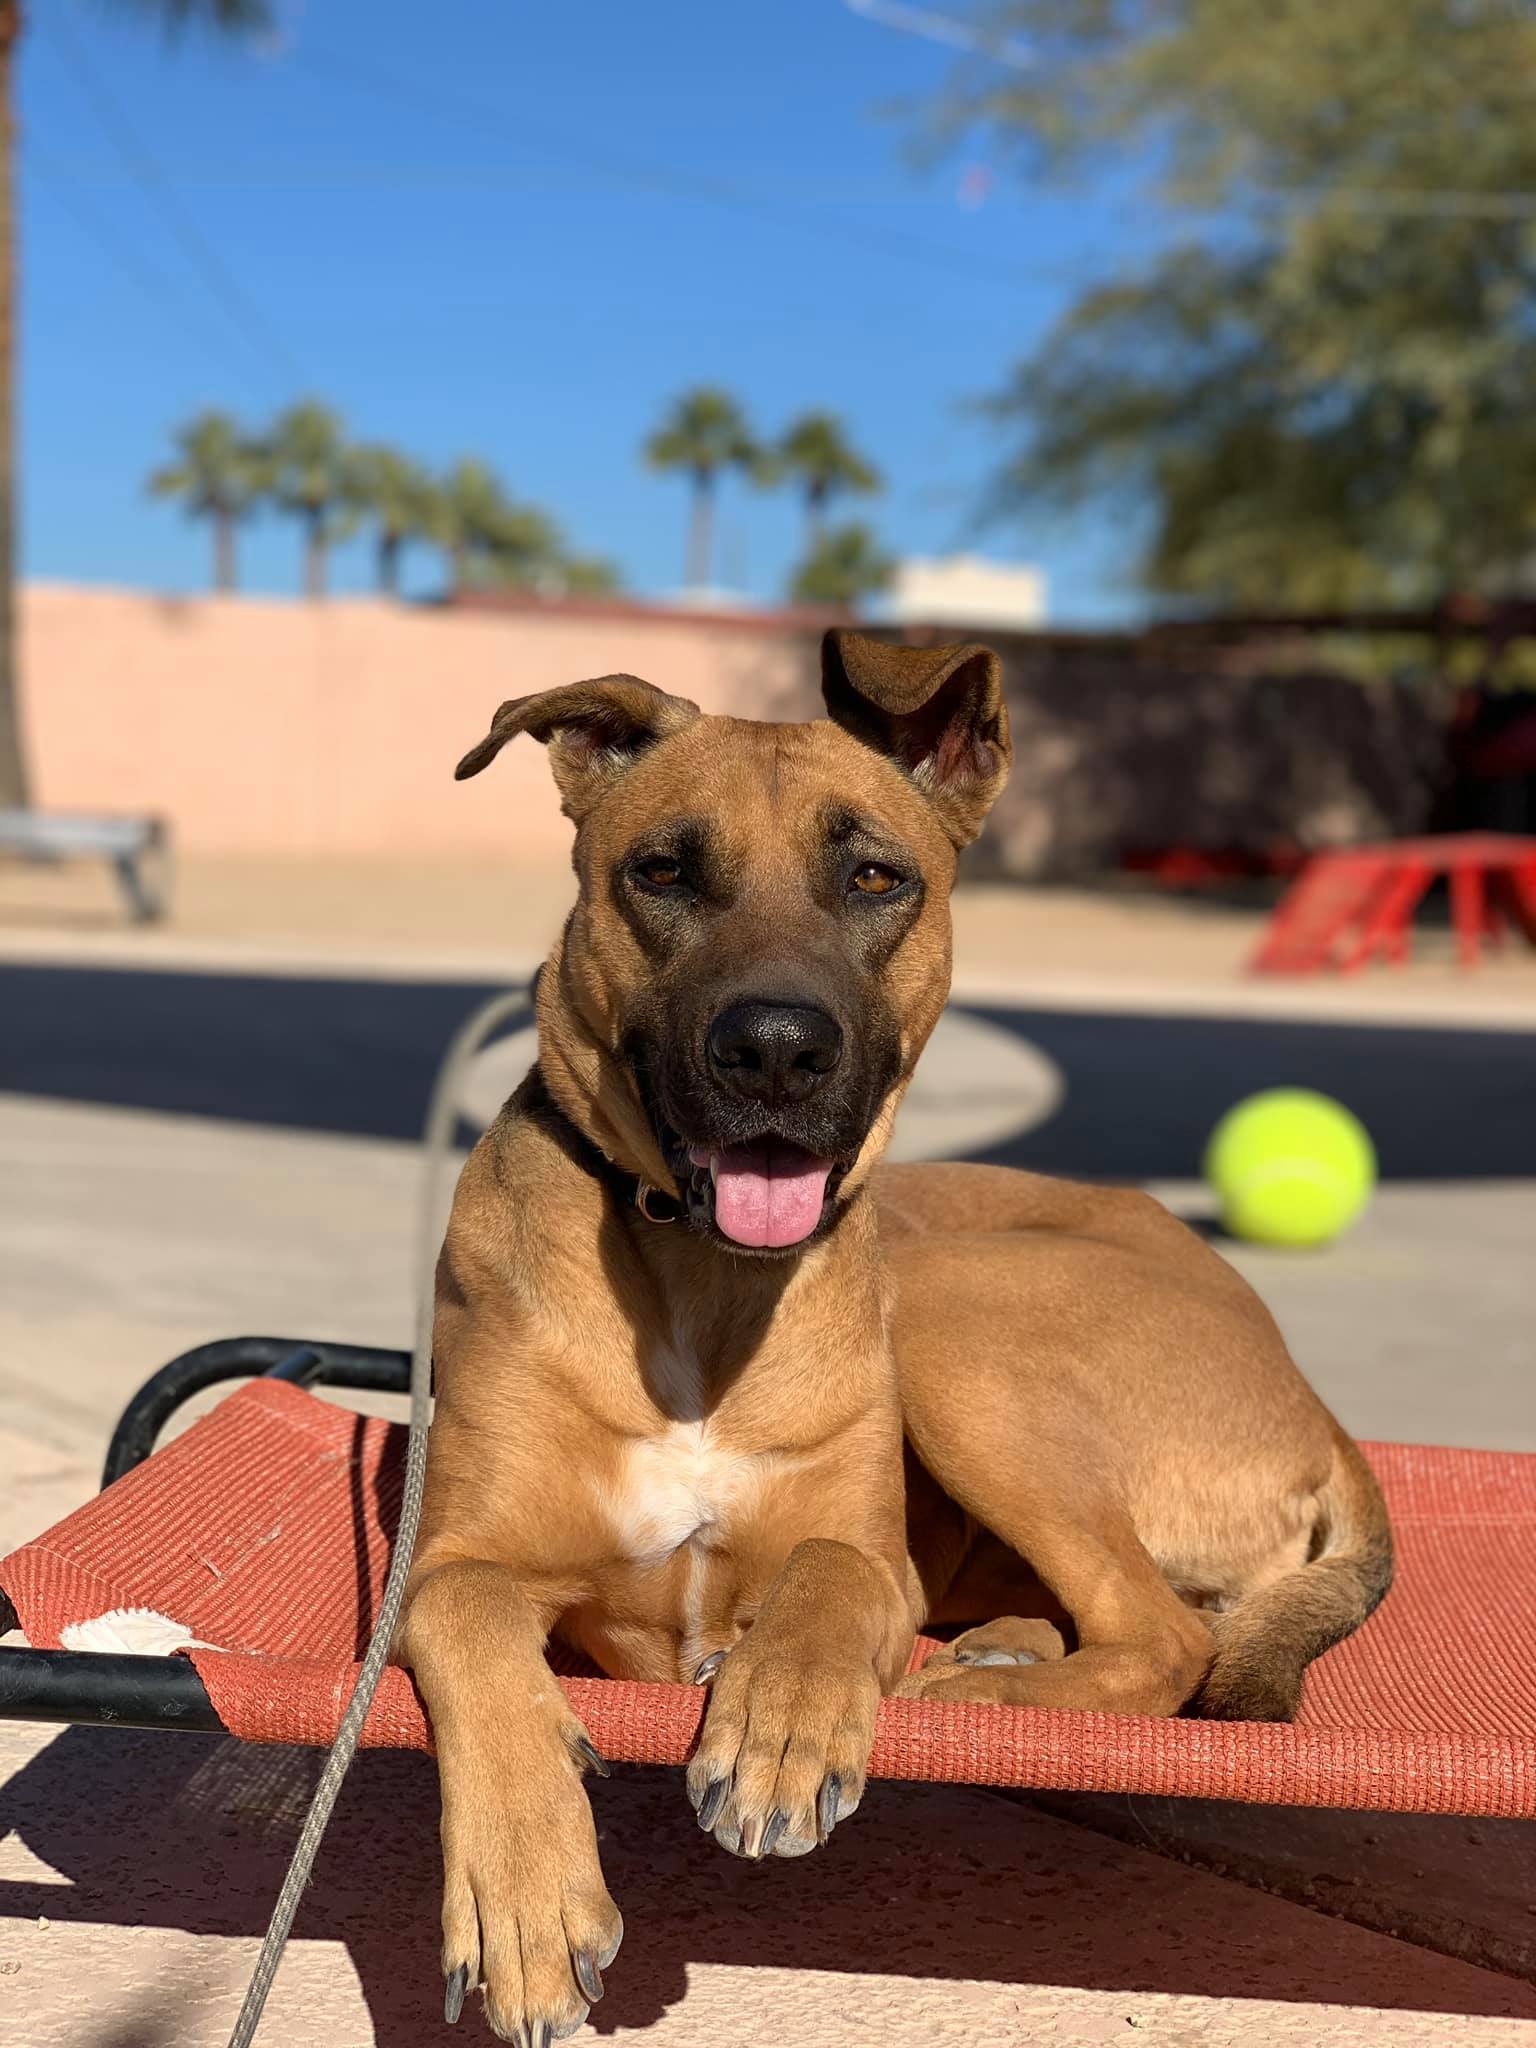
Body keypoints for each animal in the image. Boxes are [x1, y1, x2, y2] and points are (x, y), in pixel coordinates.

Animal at [399, 630, 1392, 2039]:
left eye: (875, 876)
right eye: (662, 870)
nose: (775, 1049)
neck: (704, 1287)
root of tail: (1315, 1399)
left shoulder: (868, 1549)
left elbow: (830, 1569)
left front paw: (780, 1723)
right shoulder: (450, 1560)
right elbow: (477, 1620)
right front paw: (527, 1893)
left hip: (955, 1323)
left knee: (1168, 1636)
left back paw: (972, 1688)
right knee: (1130, 1618)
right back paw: (1000, 1648)